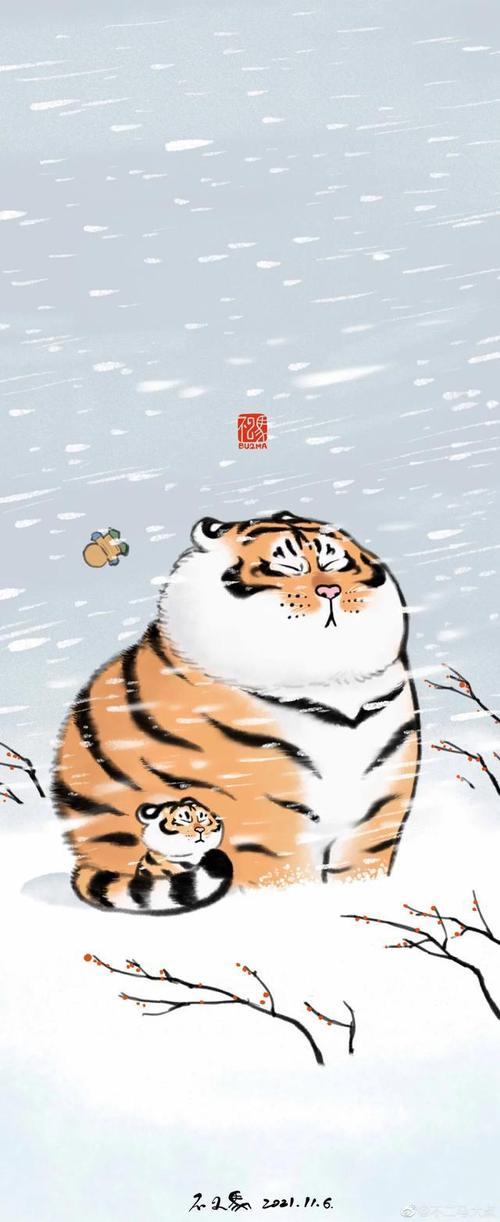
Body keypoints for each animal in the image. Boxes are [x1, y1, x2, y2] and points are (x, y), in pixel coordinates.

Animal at [53, 509, 420, 913]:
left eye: (333, 563)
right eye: (286, 567)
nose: (329, 591)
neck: (334, 687)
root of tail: (83, 855)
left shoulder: (381, 806)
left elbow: (360, 868)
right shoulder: (263, 814)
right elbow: (287, 877)